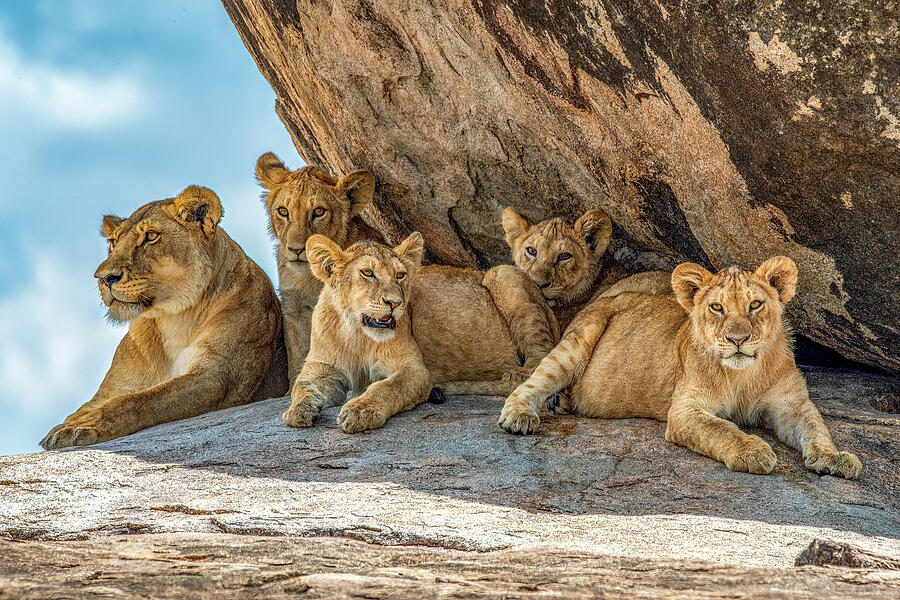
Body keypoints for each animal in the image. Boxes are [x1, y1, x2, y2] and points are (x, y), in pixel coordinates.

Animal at [40, 186, 288, 449]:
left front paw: (82, 426)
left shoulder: (219, 377)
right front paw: (70, 424)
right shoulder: (114, 387)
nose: (104, 278)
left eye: (151, 236)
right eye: (114, 242)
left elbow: (139, 401)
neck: (174, 318)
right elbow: (96, 404)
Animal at [256, 152, 384, 383]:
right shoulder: (294, 309)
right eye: (283, 211)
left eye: (318, 211)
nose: (296, 249)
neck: (310, 276)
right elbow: (298, 357)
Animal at [281, 233, 560, 433]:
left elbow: (387, 388)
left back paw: (517, 374)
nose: (395, 303)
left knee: (543, 357)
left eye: (400, 275)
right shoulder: (321, 367)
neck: (358, 333)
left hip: (503, 274)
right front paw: (298, 411)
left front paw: (360, 410)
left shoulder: (414, 369)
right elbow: (301, 386)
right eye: (367, 273)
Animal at [498, 257, 862, 479]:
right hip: (575, 344)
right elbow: (721, 428)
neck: (742, 374)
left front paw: (835, 458)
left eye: (755, 305)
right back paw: (520, 416)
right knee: (533, 381)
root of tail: (604, 297)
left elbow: (816, 428)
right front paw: (753, 451)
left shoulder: (792, 404)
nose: (738, 339)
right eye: (717, 308)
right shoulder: (685, 411)